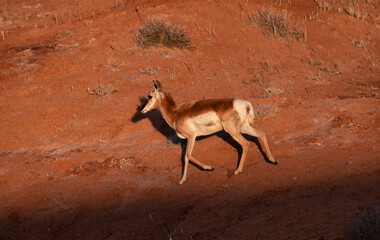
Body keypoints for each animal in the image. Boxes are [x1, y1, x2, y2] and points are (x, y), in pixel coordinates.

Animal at [141, 80, 278, 184]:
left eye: (150, 96)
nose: (142, 110)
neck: (176, 113)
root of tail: (246, 104)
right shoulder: (188, 139)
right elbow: (185, 158)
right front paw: (182, 180)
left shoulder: (192, 136)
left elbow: (188, 155)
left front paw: (210, 168)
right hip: (244, 128)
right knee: (261, 133)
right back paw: (273, 160)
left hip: (232, 131)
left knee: (245, 144)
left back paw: (238, 171)